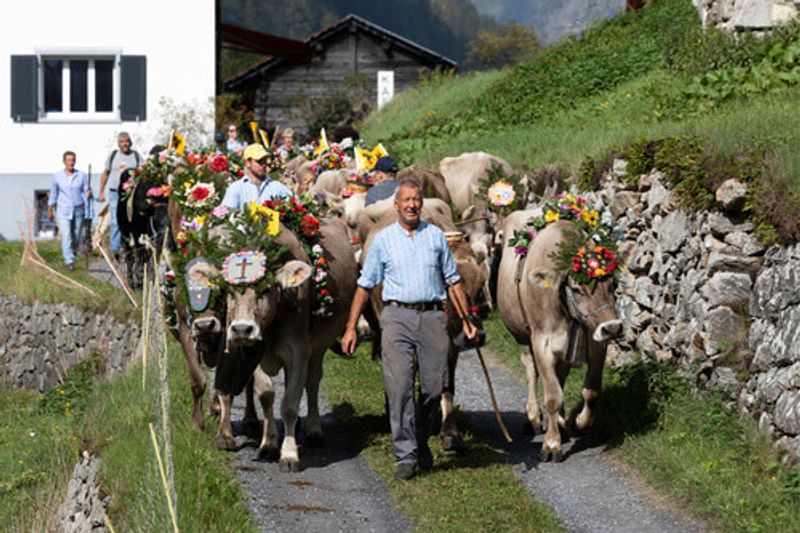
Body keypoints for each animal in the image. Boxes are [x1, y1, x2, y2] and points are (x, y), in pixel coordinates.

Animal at [494, 213, 624, 462]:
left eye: (613, 284)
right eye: (578, 289)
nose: (612, 328)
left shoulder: (595, 343)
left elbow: (592, 390)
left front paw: (580, 423)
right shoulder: (541, 343)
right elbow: (553, 396)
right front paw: (551, 444)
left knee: (560, 375)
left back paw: (562, 423)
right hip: (522, 337)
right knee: (531, 370)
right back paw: (533, 418)